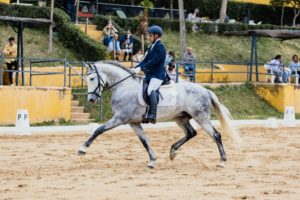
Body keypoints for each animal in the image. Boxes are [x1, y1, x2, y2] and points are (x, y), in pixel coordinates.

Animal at [78, 61, 241, 169]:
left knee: (216, 135)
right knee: (191, 133)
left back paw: (222, 161)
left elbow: (99, 130)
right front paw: (152, 160)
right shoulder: (133, 122)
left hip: (201, 117)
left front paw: (83, 149)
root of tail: (205, 90)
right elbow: (144, 141)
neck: (124, 86)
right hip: (180, 118)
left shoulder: (120, 118)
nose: (91, 99)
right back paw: (173, 151)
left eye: (91, 79)